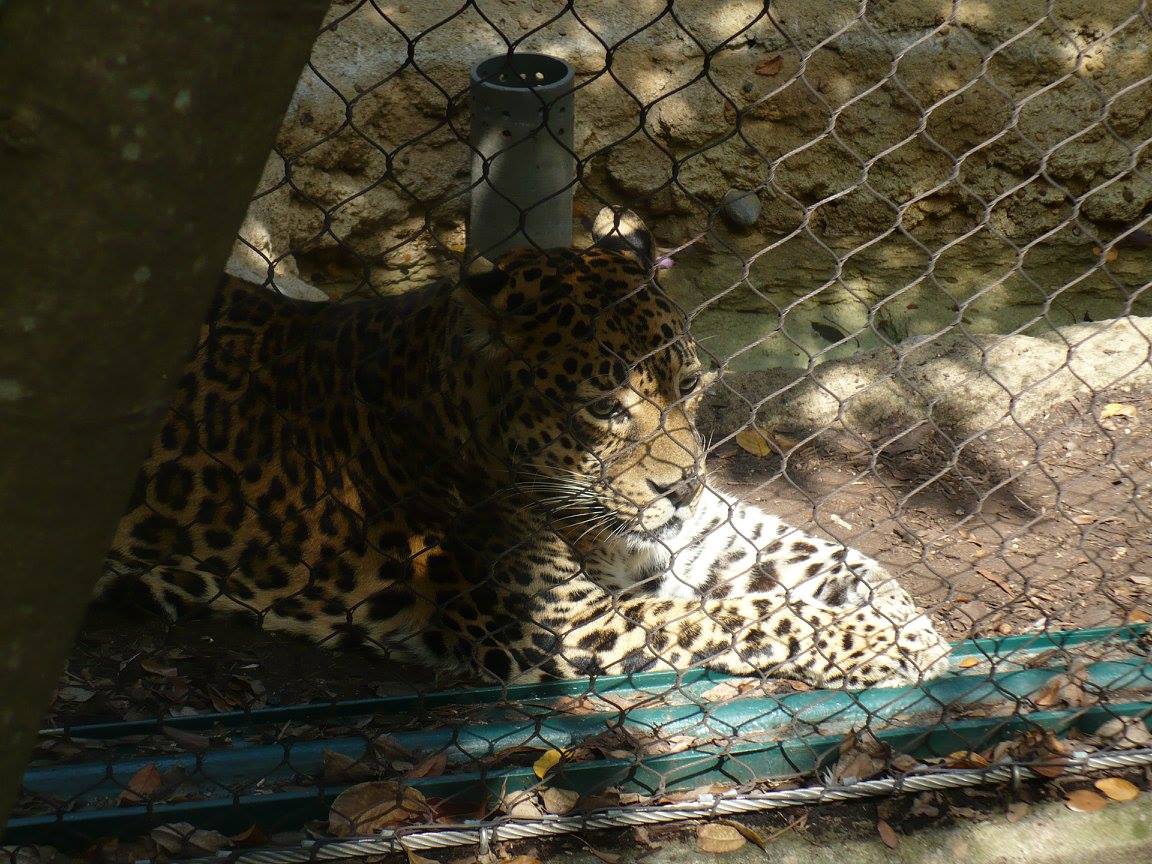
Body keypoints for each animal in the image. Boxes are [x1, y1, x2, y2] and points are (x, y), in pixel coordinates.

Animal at [99, 208, 951, 688]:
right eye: (605, 409)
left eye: (688, 385)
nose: (678, 488)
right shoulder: (566, 624)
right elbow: (754, 617)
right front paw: (888, 641)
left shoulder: (698, 538)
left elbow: (827, 557)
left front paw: (905, 616)